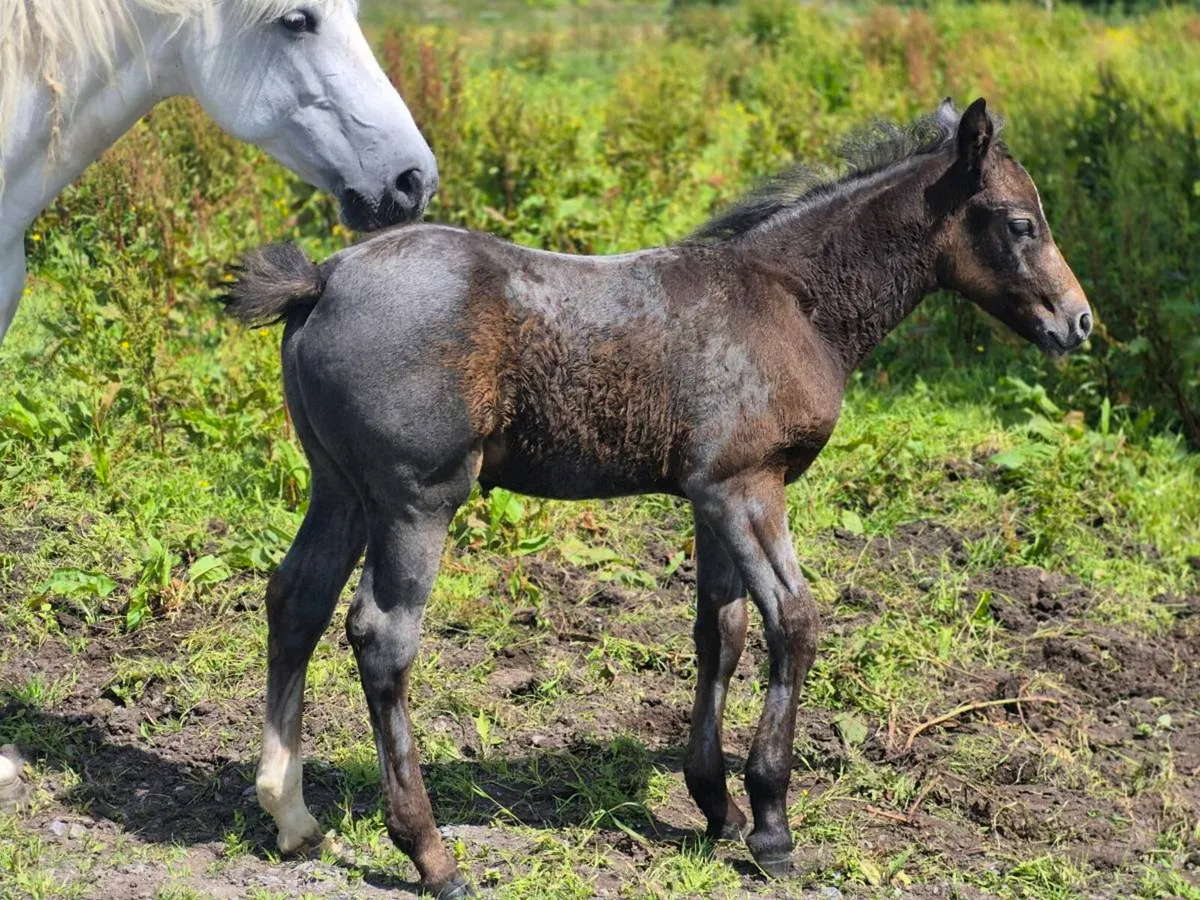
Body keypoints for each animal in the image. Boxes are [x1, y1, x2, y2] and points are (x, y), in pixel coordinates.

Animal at [223, 98, 1092, 897]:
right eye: (1021, 223)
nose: (1078, 321)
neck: (792, 301)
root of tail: (322, 279)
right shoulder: (747, 486)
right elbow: (793, 623)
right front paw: (771, 823)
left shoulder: (710, 496)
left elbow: (721, 632)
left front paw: (717, 807)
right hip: (418, 499)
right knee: (382, 636)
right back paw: (432, 856)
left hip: (340, 489)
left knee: (296, 600)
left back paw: (291, 815)